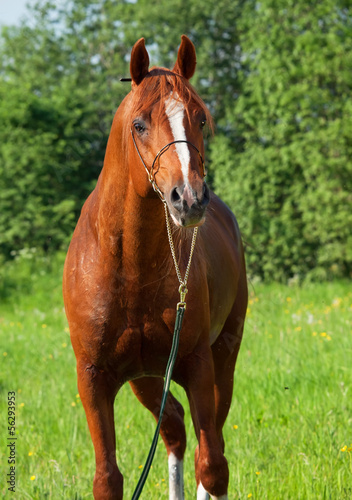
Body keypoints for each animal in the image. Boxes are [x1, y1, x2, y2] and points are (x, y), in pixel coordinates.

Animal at [62, 36, 248, 500]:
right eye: (140, 124)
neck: (130, 268)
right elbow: (108, 479)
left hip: (224, 357)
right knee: (174, 427)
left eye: (200, 119)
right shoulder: (94, 379)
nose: (190, 198)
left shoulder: (197, 365)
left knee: (205, 443)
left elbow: (213, 465)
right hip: (146, 379)